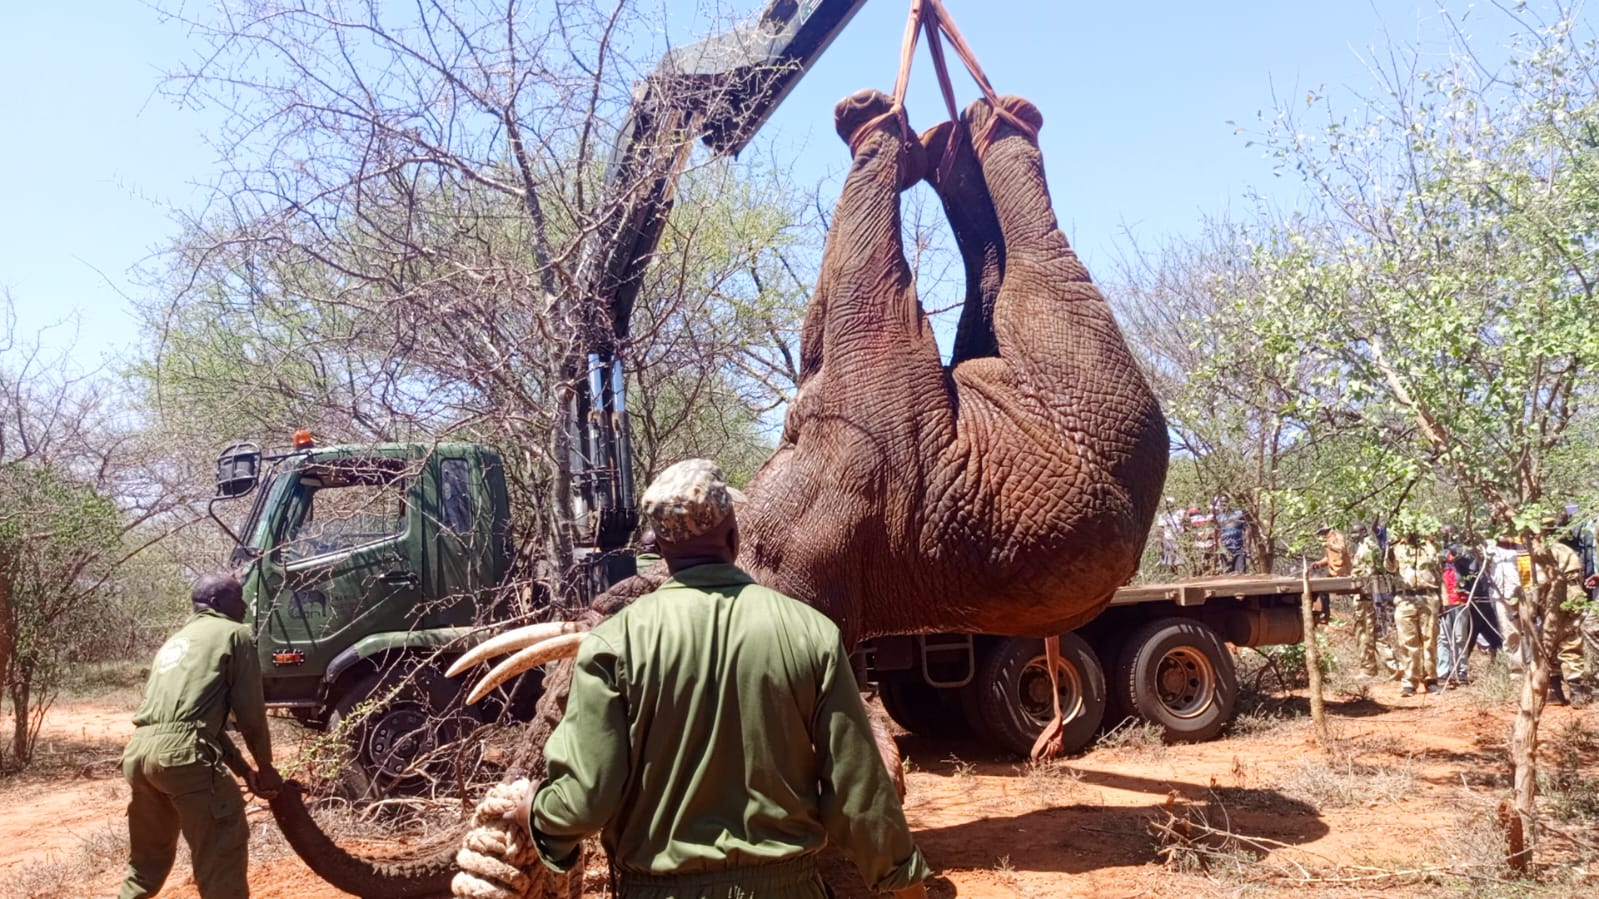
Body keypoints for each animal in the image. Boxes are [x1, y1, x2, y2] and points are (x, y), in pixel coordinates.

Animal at [268, 87, 1168, 898]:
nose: (288, 781)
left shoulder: (875, 425)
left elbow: (858, 305)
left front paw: (871, 120)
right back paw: (952, 140)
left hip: (1073, 377)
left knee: (1022, 275)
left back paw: (965, 120)